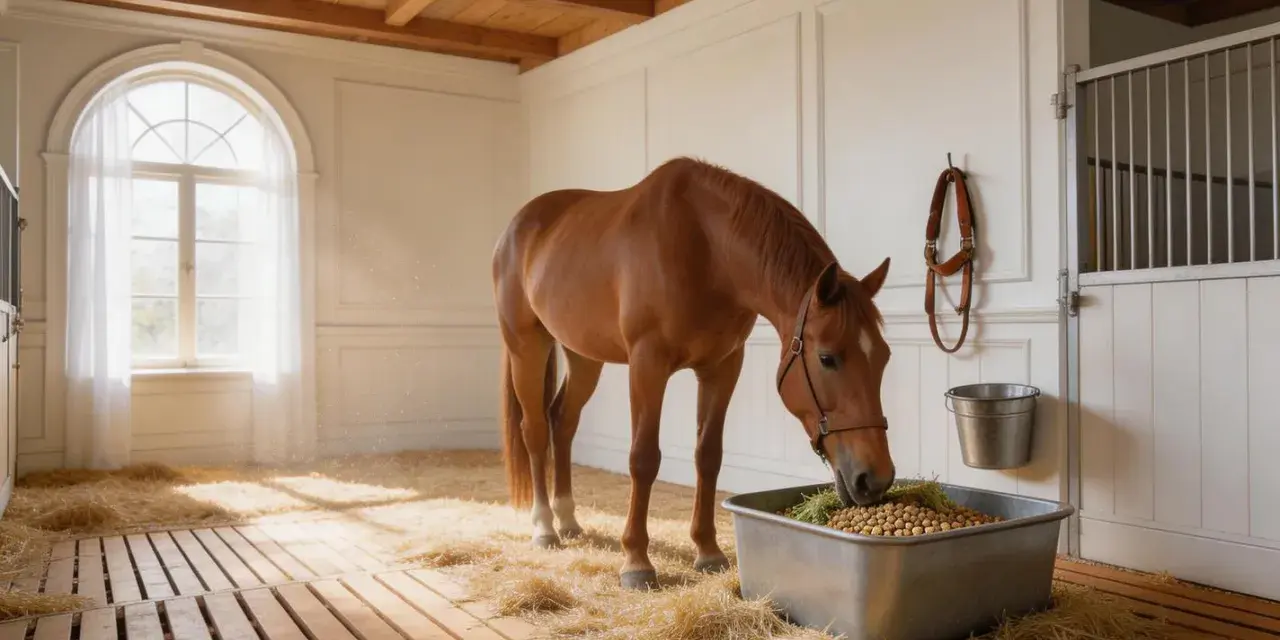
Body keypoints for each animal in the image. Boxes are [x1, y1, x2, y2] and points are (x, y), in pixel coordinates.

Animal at [491, 156, 896, 591]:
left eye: (884, 357)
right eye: (827, 358)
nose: (875, 478)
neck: (706, 248)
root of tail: (515, 228)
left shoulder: (722, 368)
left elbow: (708, 455)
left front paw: (708, 551)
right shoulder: (647, 365)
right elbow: (643, 458)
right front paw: (636, 561)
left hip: (583, 356)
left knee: (562, 422)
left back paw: (567, 518)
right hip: (526, 347)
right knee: (534, 430)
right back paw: (544, 527)